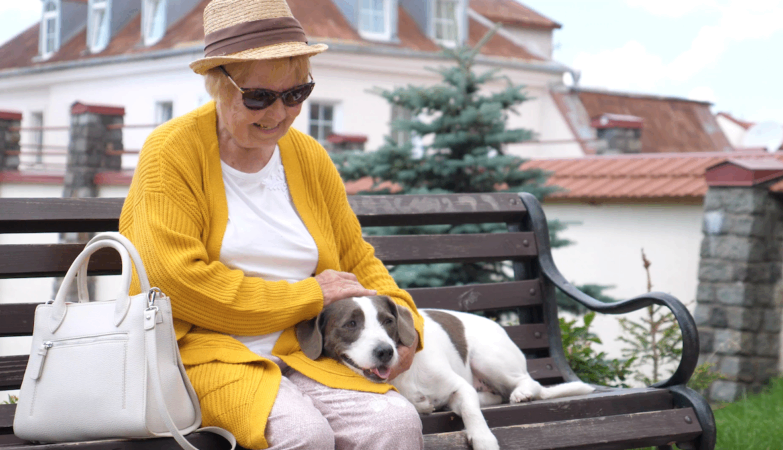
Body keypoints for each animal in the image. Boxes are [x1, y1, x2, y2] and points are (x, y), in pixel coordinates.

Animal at [296, 296, 596, 450]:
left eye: (388, 321)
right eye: (351, 324)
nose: (385, 351)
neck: (401, 376)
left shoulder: (458, 385)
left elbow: (472, 412)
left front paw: (484, 439)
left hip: (488, 357)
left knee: (527, 382)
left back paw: (522, 393)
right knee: (494, 394)